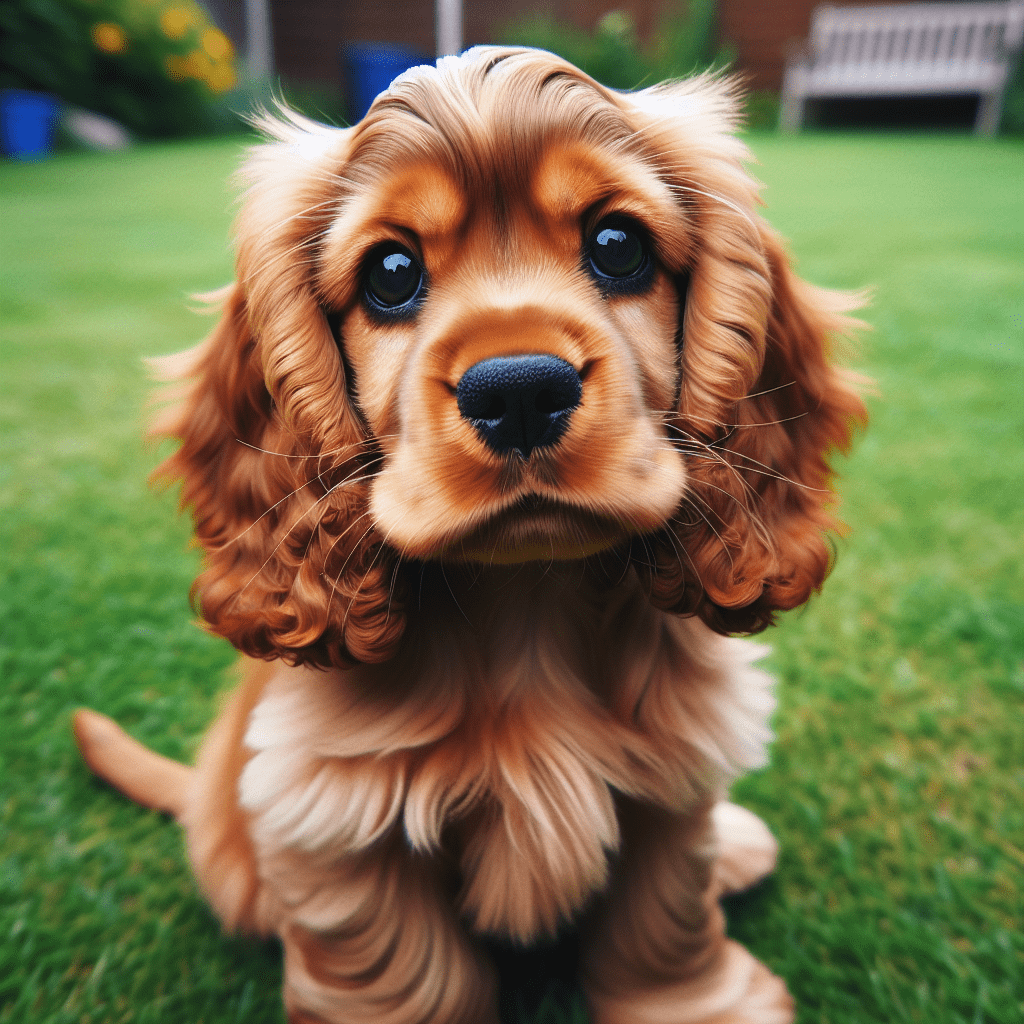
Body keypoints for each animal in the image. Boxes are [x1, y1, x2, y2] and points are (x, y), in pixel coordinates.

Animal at [75, 48, 868, 1024]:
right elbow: (407, 973)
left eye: (618, 246)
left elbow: (664, 915)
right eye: (390, 271)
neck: (524, 601)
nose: (520, 391)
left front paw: (698, 1003)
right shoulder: (336, 819)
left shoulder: (677, 770)